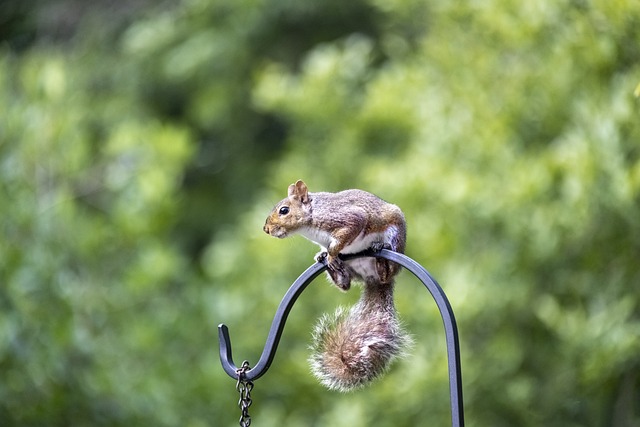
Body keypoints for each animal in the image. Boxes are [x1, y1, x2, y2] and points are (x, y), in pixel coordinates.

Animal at [264, 179, 410, 392]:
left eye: (284, 210)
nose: (266, 229)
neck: (312, 218)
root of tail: (372, 278)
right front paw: (324, 254)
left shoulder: (347, 219)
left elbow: (344, 235)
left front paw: (331, 254)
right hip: (351, 269)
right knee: (345, 284)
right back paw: (332, 267)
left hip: (395, 233)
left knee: (387, 272)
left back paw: (381, 258)